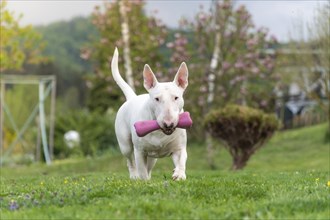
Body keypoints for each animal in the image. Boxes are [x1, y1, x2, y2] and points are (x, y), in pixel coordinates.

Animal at [111, 48, 188, 180]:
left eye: (176, 97)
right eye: (157, 99)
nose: (168, 124)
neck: (160, 132)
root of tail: (132, 97)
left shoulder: (179, 147)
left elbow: (182, 159)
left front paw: (179, 174)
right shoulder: (140, 151)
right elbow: (142, 171)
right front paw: (144, 181)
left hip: (153, 158)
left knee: (149, 167)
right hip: (125, 144)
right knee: (130, 160)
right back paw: (134, 176)